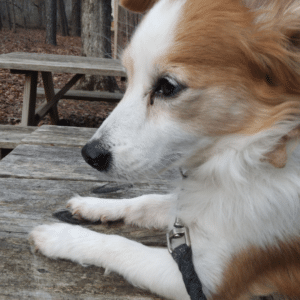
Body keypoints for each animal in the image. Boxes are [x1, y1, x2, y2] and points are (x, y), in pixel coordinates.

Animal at [28, 0, 300, 298]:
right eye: (127, 78)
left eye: (167, 87)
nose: (90, 155)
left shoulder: (206, 278)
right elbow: (146, 201)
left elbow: (121, 246)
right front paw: (95, 205)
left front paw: (62, 237)